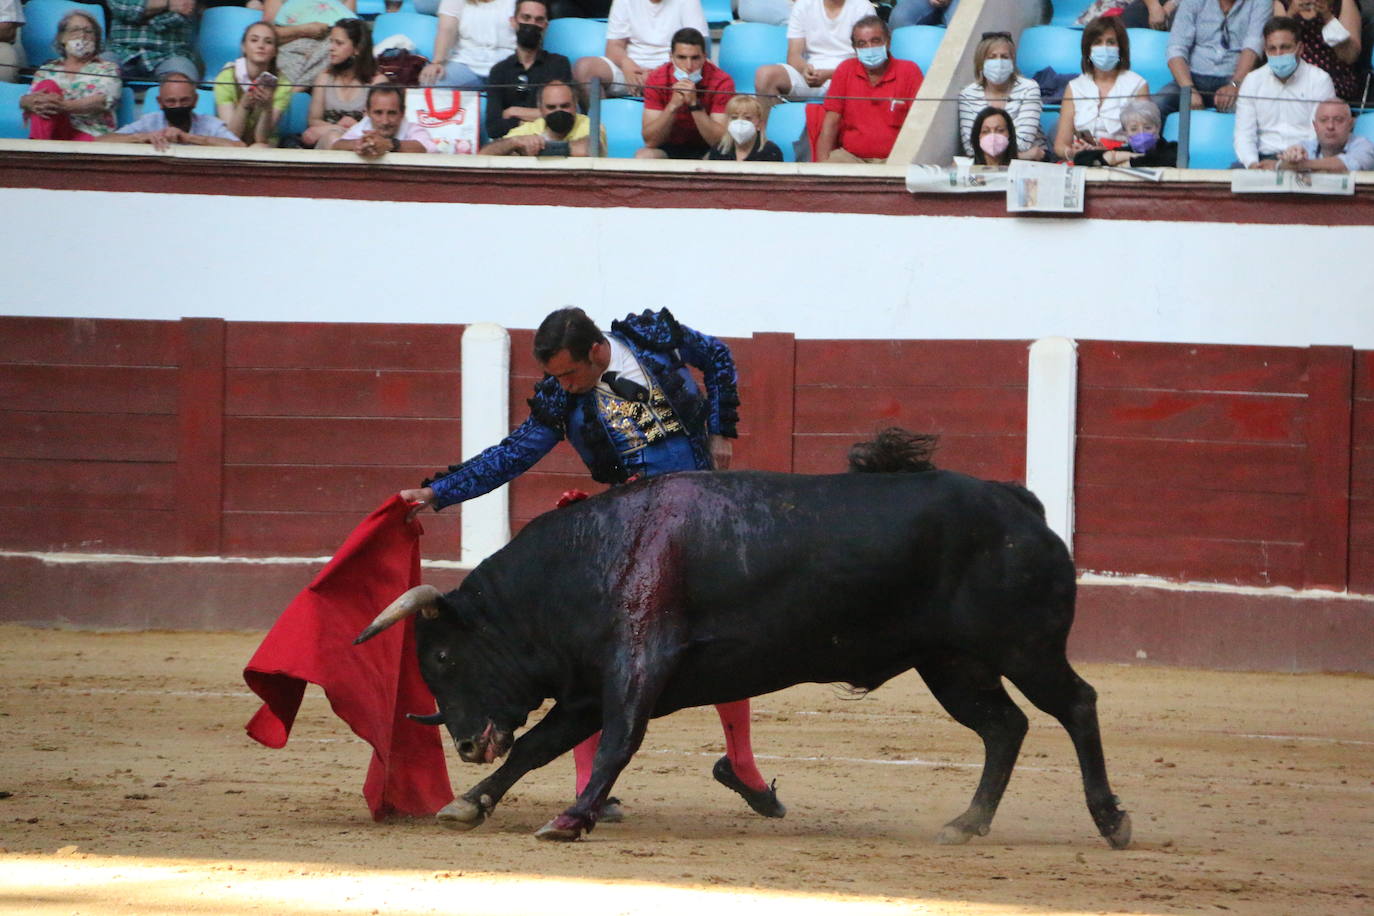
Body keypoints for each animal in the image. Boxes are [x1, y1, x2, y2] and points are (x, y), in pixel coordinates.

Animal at [354, 469, 1126, 851]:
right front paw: (469, 803)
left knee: (1075, 705)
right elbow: (537, 748)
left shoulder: (637, 667)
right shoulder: (586, 690)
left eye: (443, 655)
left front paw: (570, 820)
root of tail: (1022, 506)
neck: (589, 561)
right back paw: (966, 823)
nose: (464, 743)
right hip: (952, 664)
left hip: (1024, 647)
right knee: (1004, 726)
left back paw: (1110, 820)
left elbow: (615, 746)